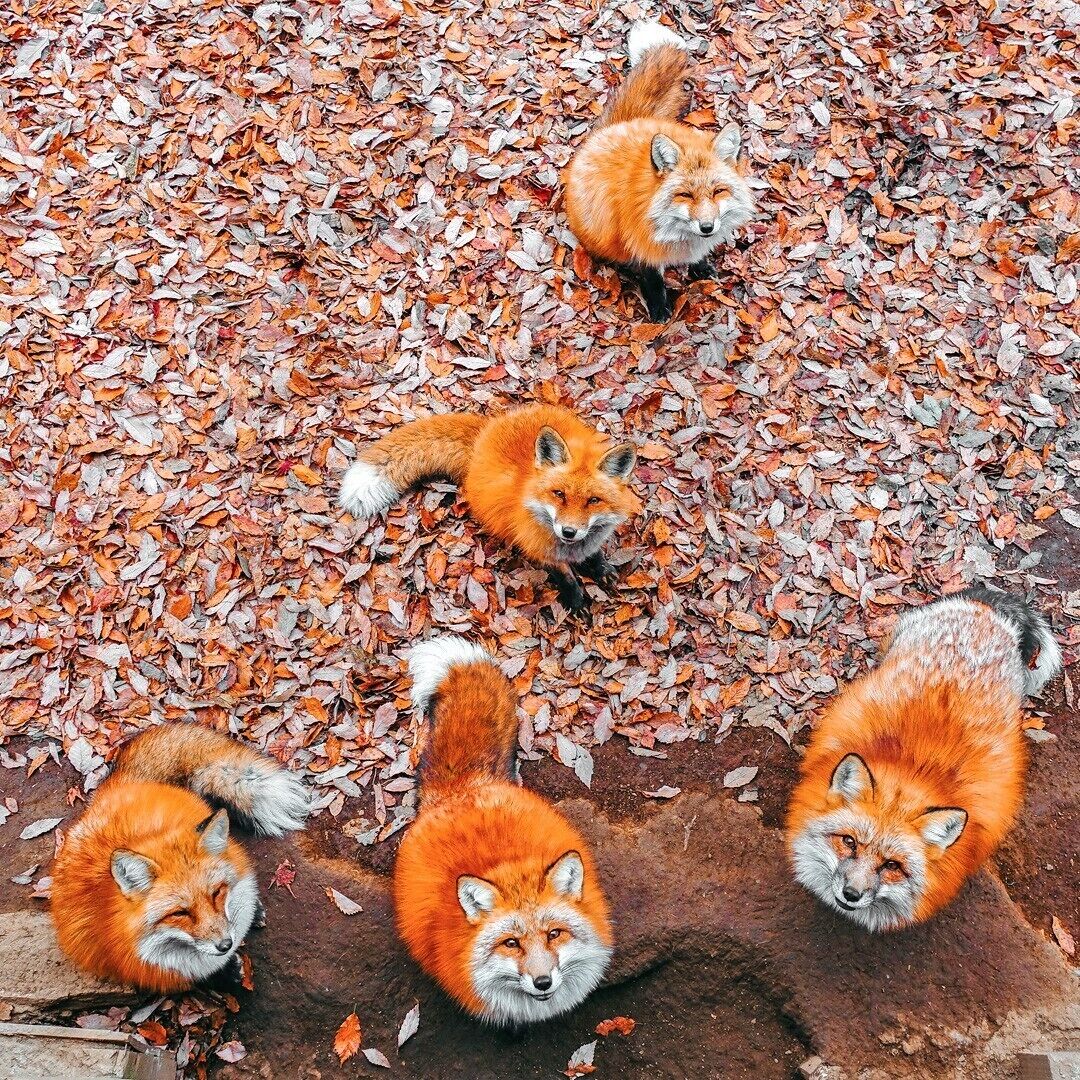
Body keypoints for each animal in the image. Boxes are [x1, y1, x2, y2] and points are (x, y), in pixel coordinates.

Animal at [338, 404, 641, 613]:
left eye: (593, 501)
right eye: (559, 494)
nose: (569, 532)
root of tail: (487, 427)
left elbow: (594, 553)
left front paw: (600, 567)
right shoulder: (535, 546)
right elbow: (563, 574)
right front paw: (575, 598)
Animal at [564, 20, 755, 322]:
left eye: (718, 191)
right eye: (685, 195)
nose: (707, 227)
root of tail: (617, 126)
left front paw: (701, 267)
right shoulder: (640, 245)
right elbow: (652, 279)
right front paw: (659, 309)